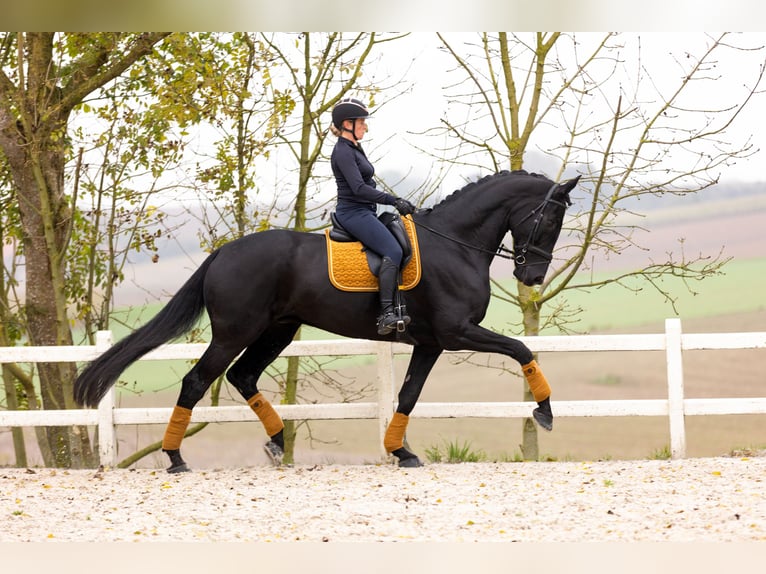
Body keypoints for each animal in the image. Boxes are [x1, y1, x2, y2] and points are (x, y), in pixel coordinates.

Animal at [75, 170, 580, 472]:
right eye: (550, 219)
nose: (532, 276)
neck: (455, 243)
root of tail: (224, 252)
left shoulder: (431, 342)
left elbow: (408, 395)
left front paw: (401, 451)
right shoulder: (457, 332)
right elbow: (521, 348)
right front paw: (545, 411)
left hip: (278, 330)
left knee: (243, 376)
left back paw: (277, 441)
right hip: (236, 332)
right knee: (198, 381)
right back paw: (176, 457)